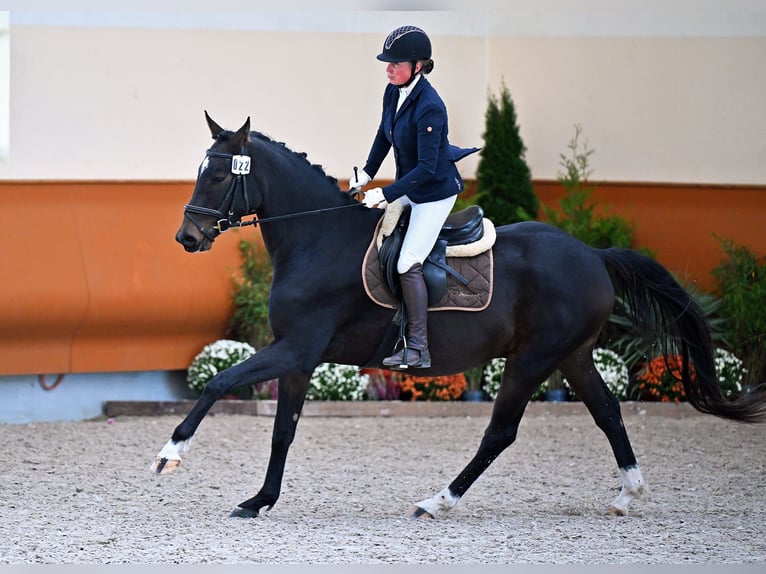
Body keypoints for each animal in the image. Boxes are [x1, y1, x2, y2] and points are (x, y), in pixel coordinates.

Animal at [152, 113, 766, 520]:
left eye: (218, 176)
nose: (187, 237)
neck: (316, 238)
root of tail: (593, 255)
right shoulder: (299, 358)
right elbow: (283, 430)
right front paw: (260, 500)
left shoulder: (297, 348)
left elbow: (220, 382)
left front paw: (170, 454)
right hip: (571, 355)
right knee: (609, 413)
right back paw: (628, 494)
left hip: (532, 359)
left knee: (501, 432)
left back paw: (438, 500)